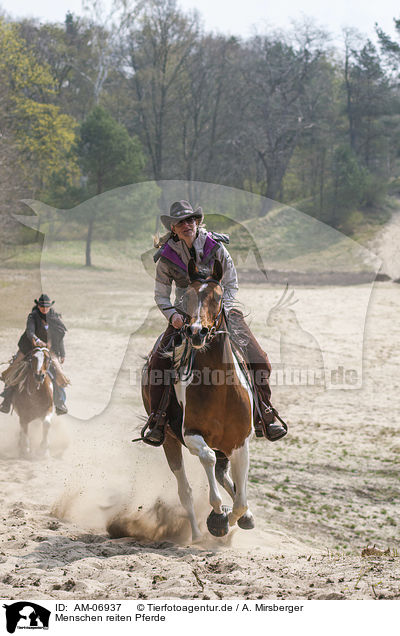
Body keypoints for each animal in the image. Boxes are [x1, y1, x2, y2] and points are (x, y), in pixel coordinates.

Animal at [142, 258, 255, 540]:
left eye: (218, 297)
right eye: (188, 297)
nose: (196, 331)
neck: (220, 389)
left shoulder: (240, 442)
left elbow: (240, 500)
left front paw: (235, 517)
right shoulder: (190, 434)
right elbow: (207, 458)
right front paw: (218, 517)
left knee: (224, 477)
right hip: (169, 441)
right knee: (186, 492)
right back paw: (195, 534)